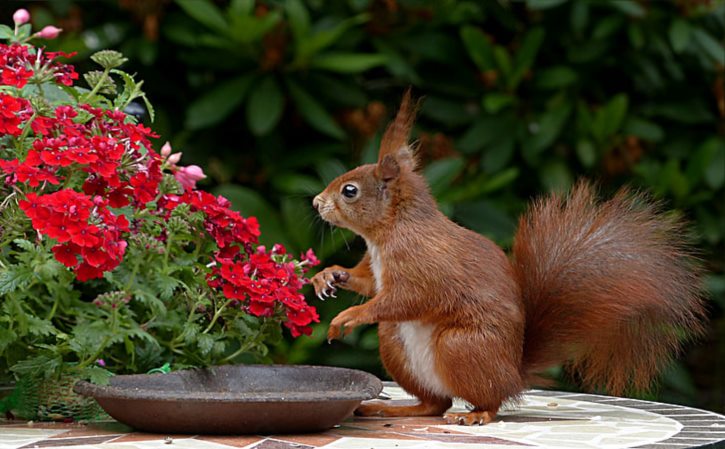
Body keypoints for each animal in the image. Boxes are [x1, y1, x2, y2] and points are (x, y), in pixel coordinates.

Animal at [308, 90, 704, 424]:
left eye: (349, 191)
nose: (315, 202)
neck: (388, 232)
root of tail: (513, 374)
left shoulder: (423, 262)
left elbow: (408, 298)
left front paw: (350, 316)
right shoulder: (377, 269)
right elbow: (367, 283)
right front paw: (329, 276)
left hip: (461, 346)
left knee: (487, 400)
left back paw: (476, 414)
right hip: (395, 343)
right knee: (436, 403)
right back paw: (395, 408)